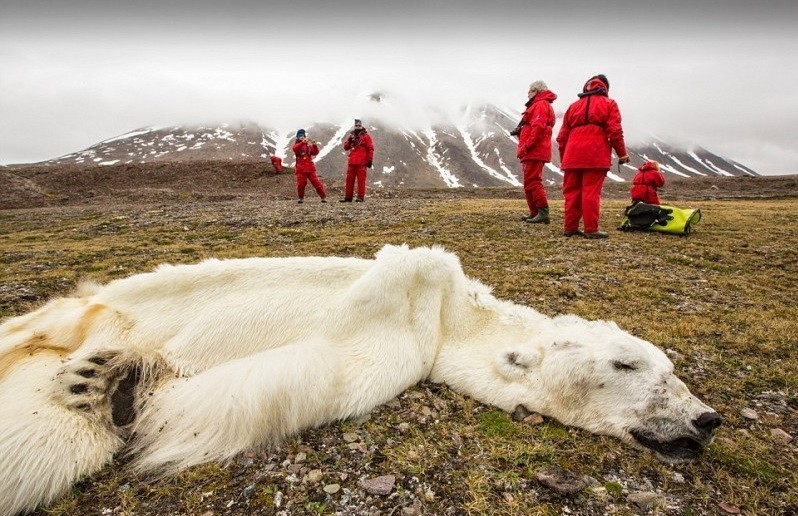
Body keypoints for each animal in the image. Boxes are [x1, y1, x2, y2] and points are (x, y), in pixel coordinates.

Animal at [0, 244, 720, 512]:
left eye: (670, 368)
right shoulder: (404, 310)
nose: (706, 418)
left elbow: (282, 379)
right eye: (627, 363)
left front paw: (124, 388)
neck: (448, 316)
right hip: (91, 307)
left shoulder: (401, 348)